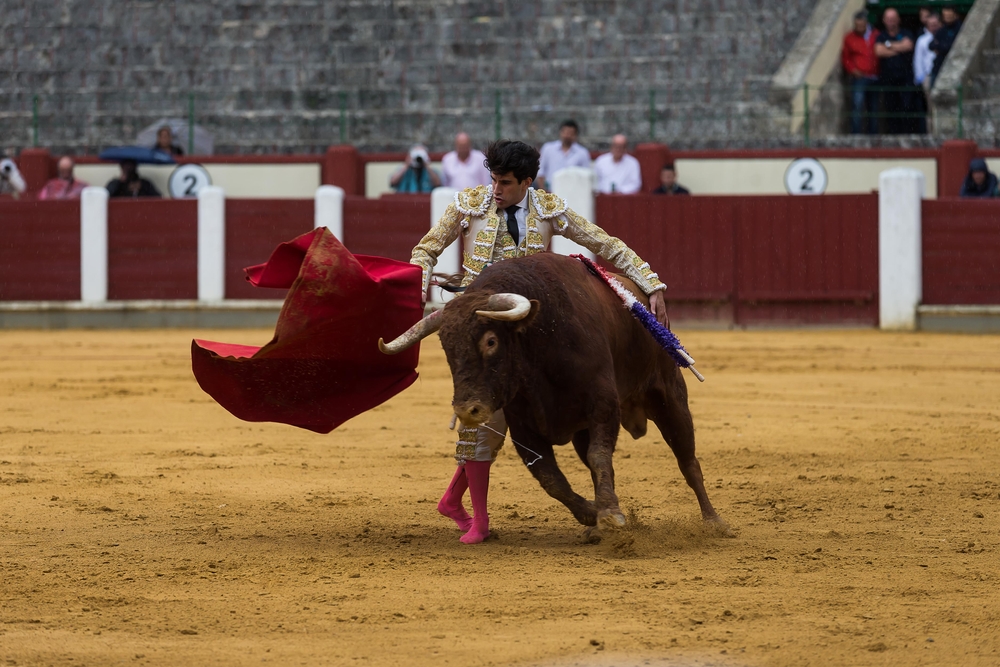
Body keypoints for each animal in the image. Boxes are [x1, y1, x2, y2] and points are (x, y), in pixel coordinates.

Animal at [384, 253, 728, 536]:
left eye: (491, 341)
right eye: (446, 345)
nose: (468, 410)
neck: (539, 337)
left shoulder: (603, 405)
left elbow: (599, 456)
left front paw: (610, 514)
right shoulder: (523, 424)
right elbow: (550, 477)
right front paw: (592, 512)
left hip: (669, 395)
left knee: (687, 459)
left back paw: (714, 523)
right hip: (583, 430)